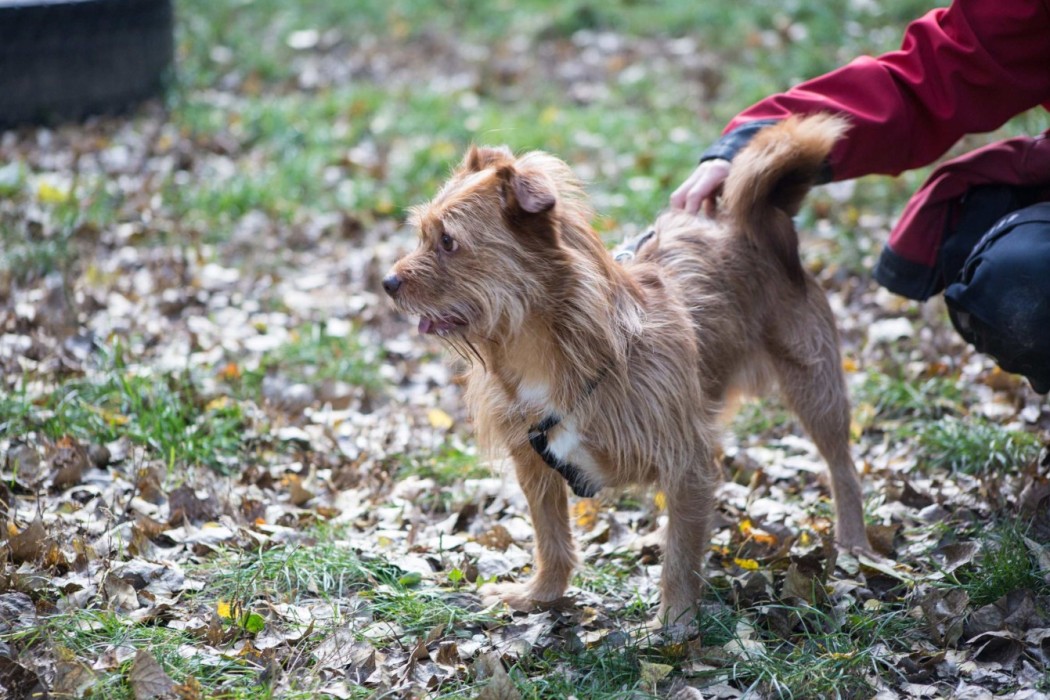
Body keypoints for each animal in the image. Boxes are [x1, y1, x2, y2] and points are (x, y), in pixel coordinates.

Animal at [382, 114, 869, 626]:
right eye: (424, 234)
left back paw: (854, 545)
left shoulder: (687, 459)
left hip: (816, 387)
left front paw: (676, 624)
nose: (387, 282)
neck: (550, 352)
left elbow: (679, 554)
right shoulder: (532, 461)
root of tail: (757, 223)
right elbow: (551, 536)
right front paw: (541, 595)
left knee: (842, 468)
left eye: (448, 241)